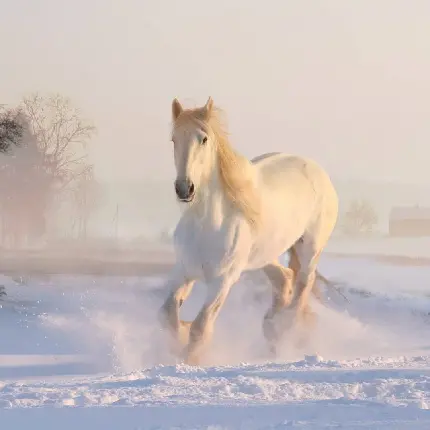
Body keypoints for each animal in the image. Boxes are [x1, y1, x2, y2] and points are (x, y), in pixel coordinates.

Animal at [159, 96, 340, 362]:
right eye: (174, 139)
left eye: (204, 139)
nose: (184, 188)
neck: (207, 224)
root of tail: (316, 169)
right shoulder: (183, 271)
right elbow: (168, 315)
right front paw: (177, 340)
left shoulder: (223, 281)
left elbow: (200, 328)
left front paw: (188, 360)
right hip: (265, 255)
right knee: (285, 279)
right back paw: (271, 329)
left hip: (310, 248)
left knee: (302, 285)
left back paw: (282, 328)